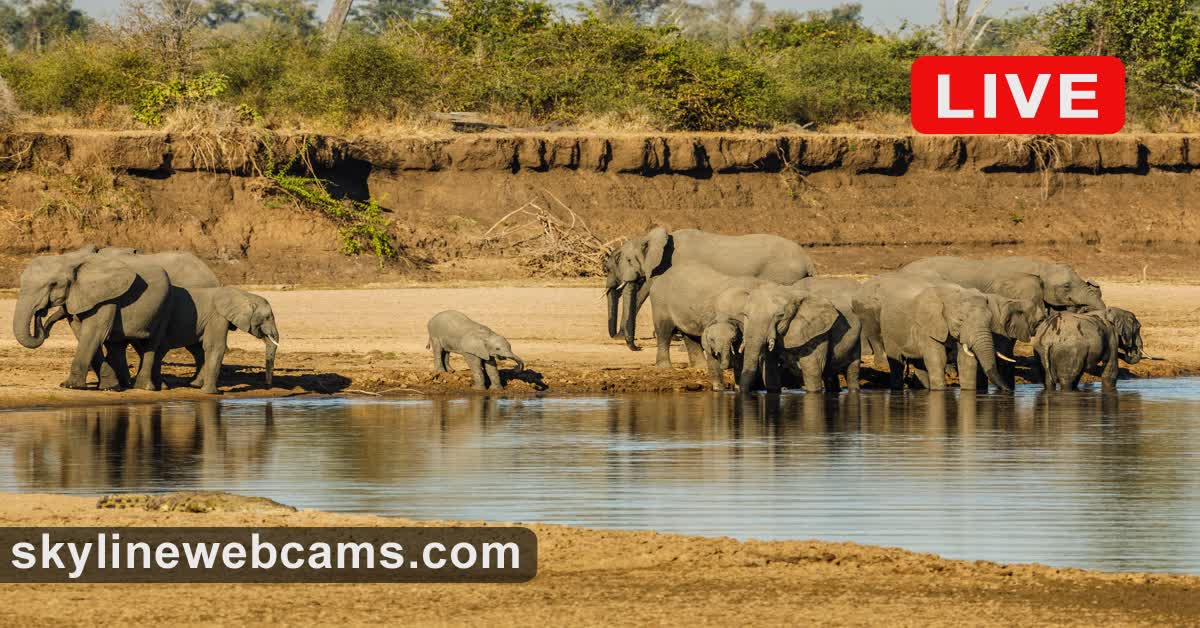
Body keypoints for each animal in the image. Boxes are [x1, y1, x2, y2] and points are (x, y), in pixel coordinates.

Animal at [13, 246, 171, 390]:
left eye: (53, 284)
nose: (40, 312)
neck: (68, 259)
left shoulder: (105, 295)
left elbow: (93, 333)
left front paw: (70, 386)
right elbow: (81, 333)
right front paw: (110, 386)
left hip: (163, 306)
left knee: (151, 343)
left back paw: (146, 387)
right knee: (119, 344)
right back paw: (126, 385)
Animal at [140, 286, 279, 394]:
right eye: (267, 317)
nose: (268, 387)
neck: (243, 295)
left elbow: (200, 347)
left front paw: (196, 385)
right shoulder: (217, 316)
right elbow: (215, 347)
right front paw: (212, 393)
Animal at [853, 273, 1039, 391]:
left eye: (989, 320)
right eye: (960, 320)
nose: (1008, 391)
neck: (951, 295)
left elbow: (966, 361)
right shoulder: (929, 325)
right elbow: (938, 358)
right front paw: (940, 392)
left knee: (920, 365)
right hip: (888, 327)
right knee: (897, 361)